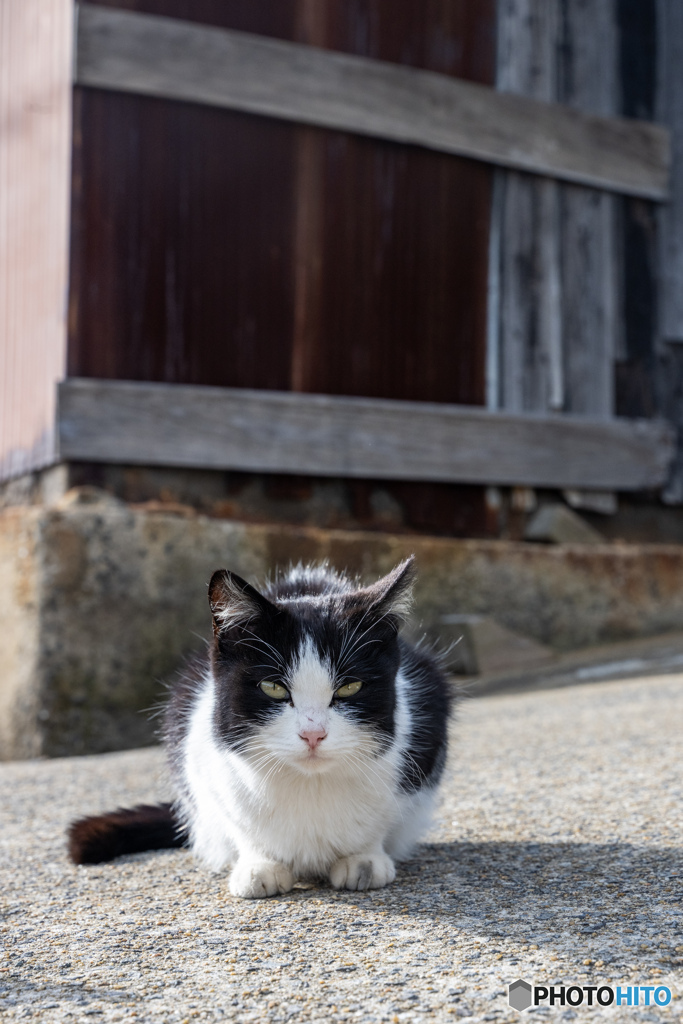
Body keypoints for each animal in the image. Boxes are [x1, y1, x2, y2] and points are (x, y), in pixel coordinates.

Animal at [68, 557, 454, 901]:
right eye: (273, 688)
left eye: (349, 687)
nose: (313, 734)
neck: (310, 786)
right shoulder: (197, 751)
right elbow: (238, 823)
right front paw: (260, 865)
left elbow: (381, 821)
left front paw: (363, 860)